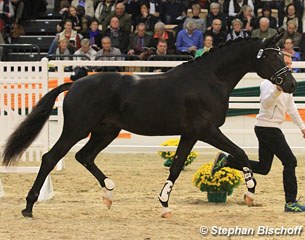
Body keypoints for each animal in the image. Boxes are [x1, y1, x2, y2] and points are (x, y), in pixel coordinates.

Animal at [1, 32, 294, 218]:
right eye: (273, 58)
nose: (291, 84)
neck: (209, 79)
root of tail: (75, 84)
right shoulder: (206, 130)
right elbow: (240, 152)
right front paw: (251, 191)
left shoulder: (190, 134)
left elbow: (176, 166)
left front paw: (164, 205)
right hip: (77, 129)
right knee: (51, 158)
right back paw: (29, 207)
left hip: (106, 131)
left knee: (84, 156)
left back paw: (109, 193)